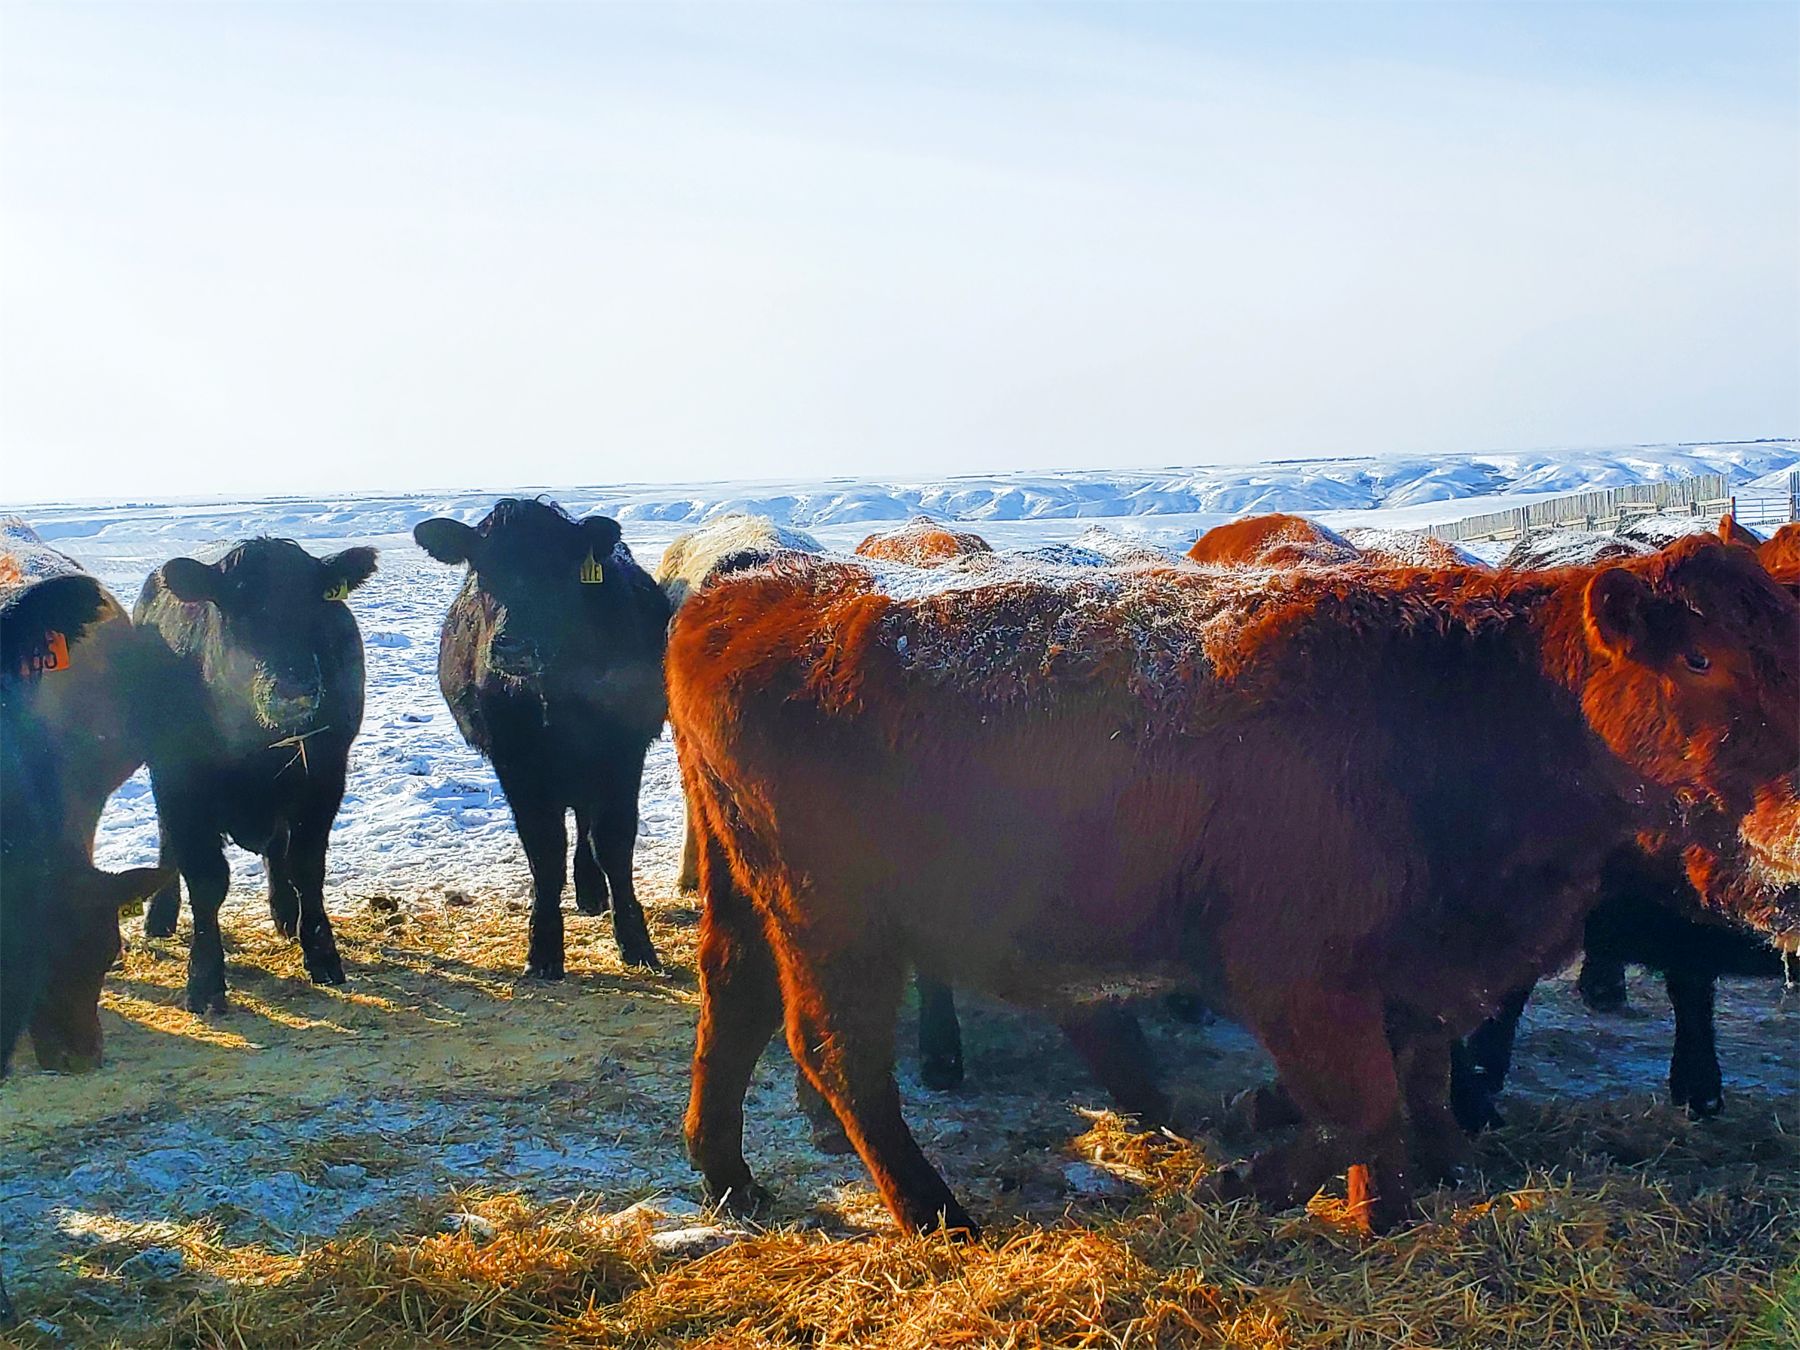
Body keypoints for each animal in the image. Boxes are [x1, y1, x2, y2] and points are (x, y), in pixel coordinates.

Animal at [135, 538, 377, 1012]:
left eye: (316, 603)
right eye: (237, 609)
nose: (294, 689)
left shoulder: (324, 778)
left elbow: (307, 867)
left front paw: (321, 954)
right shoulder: (180, 780)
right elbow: (207, 879)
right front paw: (205, 979)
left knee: (278, 850)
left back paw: (285, 913)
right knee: (168, 838)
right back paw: (161, 914)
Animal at [414, 498, 669, 978]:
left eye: (557, 569)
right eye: (481, 568)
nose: (512, 646)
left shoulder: (622, 755)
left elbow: (614, 842)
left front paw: (637, 943)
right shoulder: (516, 765)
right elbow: (544, 850)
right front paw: (544, 947)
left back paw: (591, 890)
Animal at [669, 535, 1800, 1236]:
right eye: (1697, 657)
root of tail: (748, 585)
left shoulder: (1405, 973)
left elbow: (1411, 1091)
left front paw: (1392, 1211)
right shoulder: (1293, 972)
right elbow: (1366, 1105)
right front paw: (1250, 1168)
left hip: (752, 895)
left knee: (735, 999)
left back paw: (729, 1180)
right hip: (835, 921)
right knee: (836, 1051)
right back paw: (939, 1218)